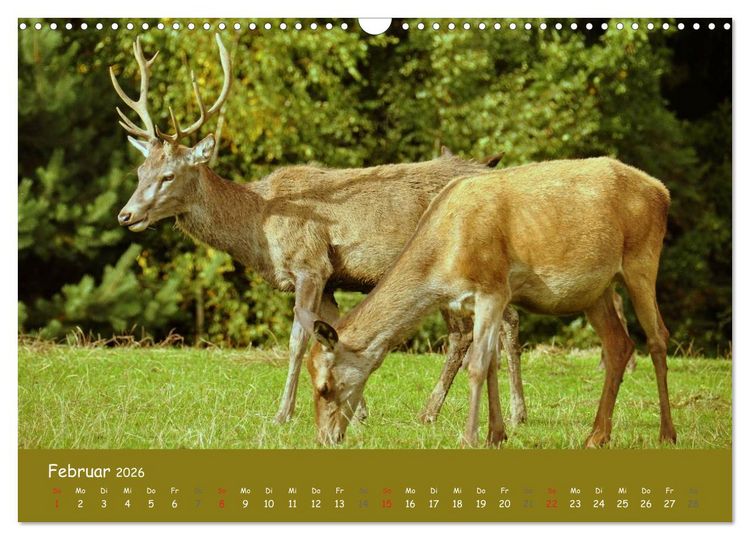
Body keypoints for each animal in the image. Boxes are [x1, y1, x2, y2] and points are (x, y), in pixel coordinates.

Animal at [110, 35, 527, 426]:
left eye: (169, 175)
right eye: (140, 171)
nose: (125, 215)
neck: (260, 228)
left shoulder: (310, 265)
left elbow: (298, 339)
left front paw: (283, 413)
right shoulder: (330, 279)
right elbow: (334, 332)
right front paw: (356, 412)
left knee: (479, 328)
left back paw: (462, 412)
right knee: (499, 321)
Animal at [299, 157, 677, 448]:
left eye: (324, 387)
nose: (325, 437)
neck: (445, 258)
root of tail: (662, 191)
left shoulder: (492, 290)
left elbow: (478, 365)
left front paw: (469, 437)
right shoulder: (471, 302)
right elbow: (491, 363)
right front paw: (497, 435)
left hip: (642, 261)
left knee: (658, 337)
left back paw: (666, 433)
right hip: (596, 292)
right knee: (618, 344)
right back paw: (597, 435)